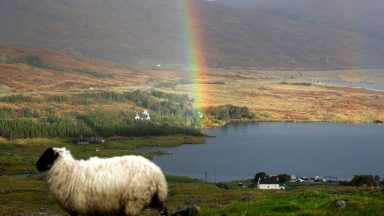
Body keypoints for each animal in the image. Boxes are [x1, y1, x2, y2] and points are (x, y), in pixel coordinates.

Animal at [36, 148, 168, 215]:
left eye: (47, 155)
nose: (36, 165)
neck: (67, 172)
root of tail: (158, 173)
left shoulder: (82, 208)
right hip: (155, 199)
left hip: (135, 201)